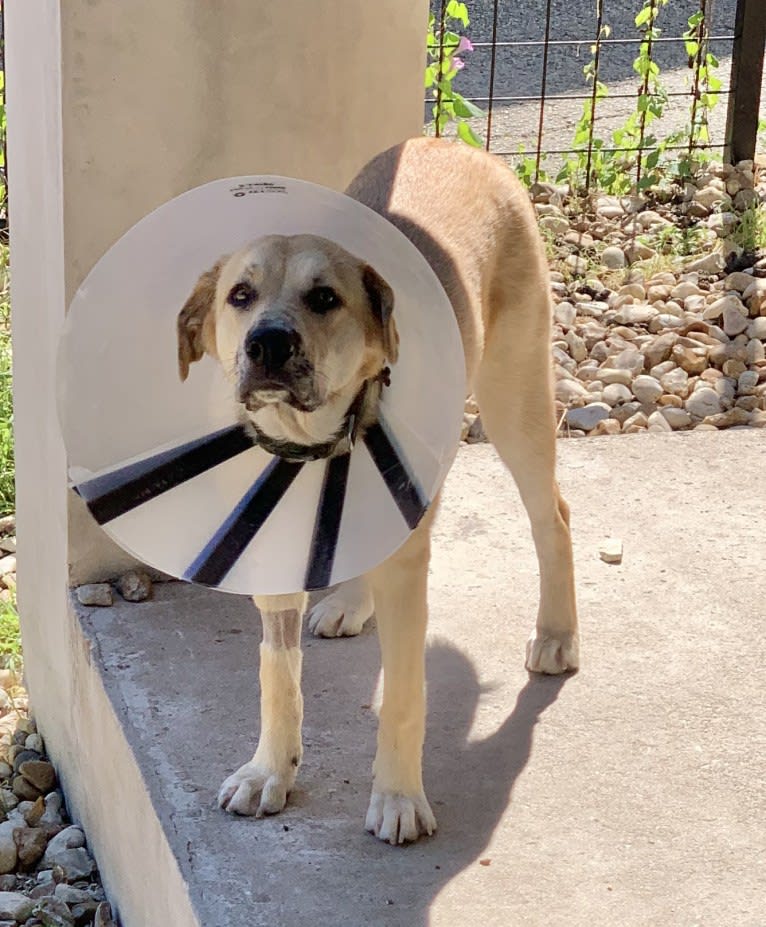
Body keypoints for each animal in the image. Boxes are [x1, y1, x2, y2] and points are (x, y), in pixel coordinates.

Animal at [176, 140, 584, 848]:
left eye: (324, 297)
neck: (315, 442)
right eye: (239, 295)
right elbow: (276, 672)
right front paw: (270, 770)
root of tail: (455, 144)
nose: (267, 343)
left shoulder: (408, 575)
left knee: (551, 515)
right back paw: (349, 601)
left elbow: (403, 695)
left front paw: (397, 797)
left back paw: (557, 634)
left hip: (515, 402)